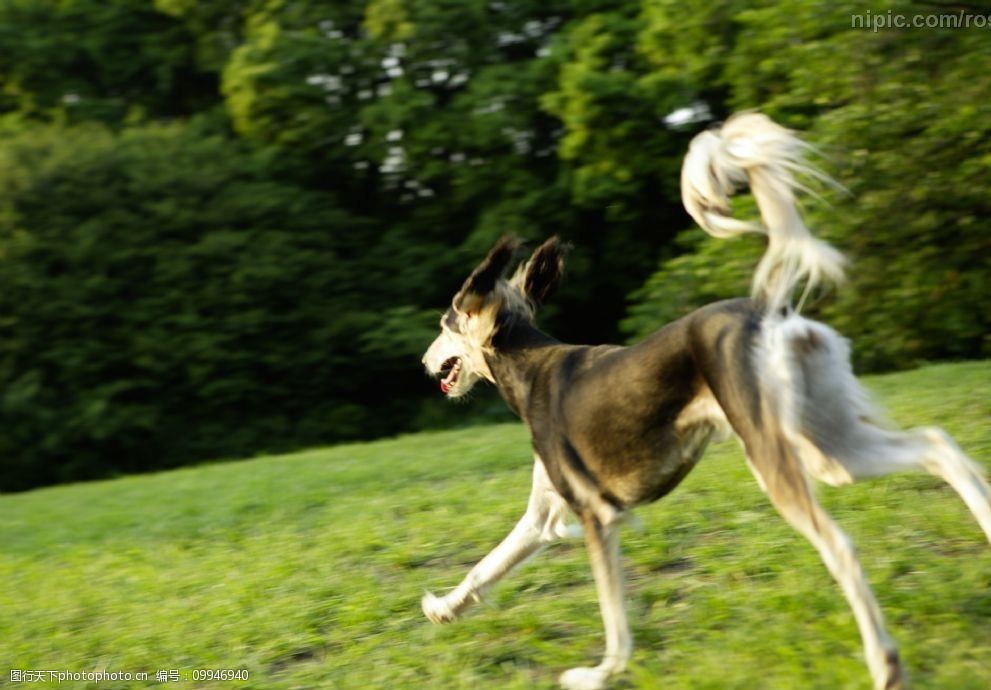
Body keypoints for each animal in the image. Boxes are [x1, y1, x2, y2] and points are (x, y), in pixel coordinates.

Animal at [418, 113, 991, 688]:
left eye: (444, 325)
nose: (423, 361)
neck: (530, 366)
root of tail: (768, 308)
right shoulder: (547, 514)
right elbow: (487, 566)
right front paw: (444, 607)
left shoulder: (597, 515)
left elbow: (615, 620)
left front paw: (601, 674)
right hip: (829, 445)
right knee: (936, 446)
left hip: (776, 453)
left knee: (843, 546)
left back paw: (885, 665)